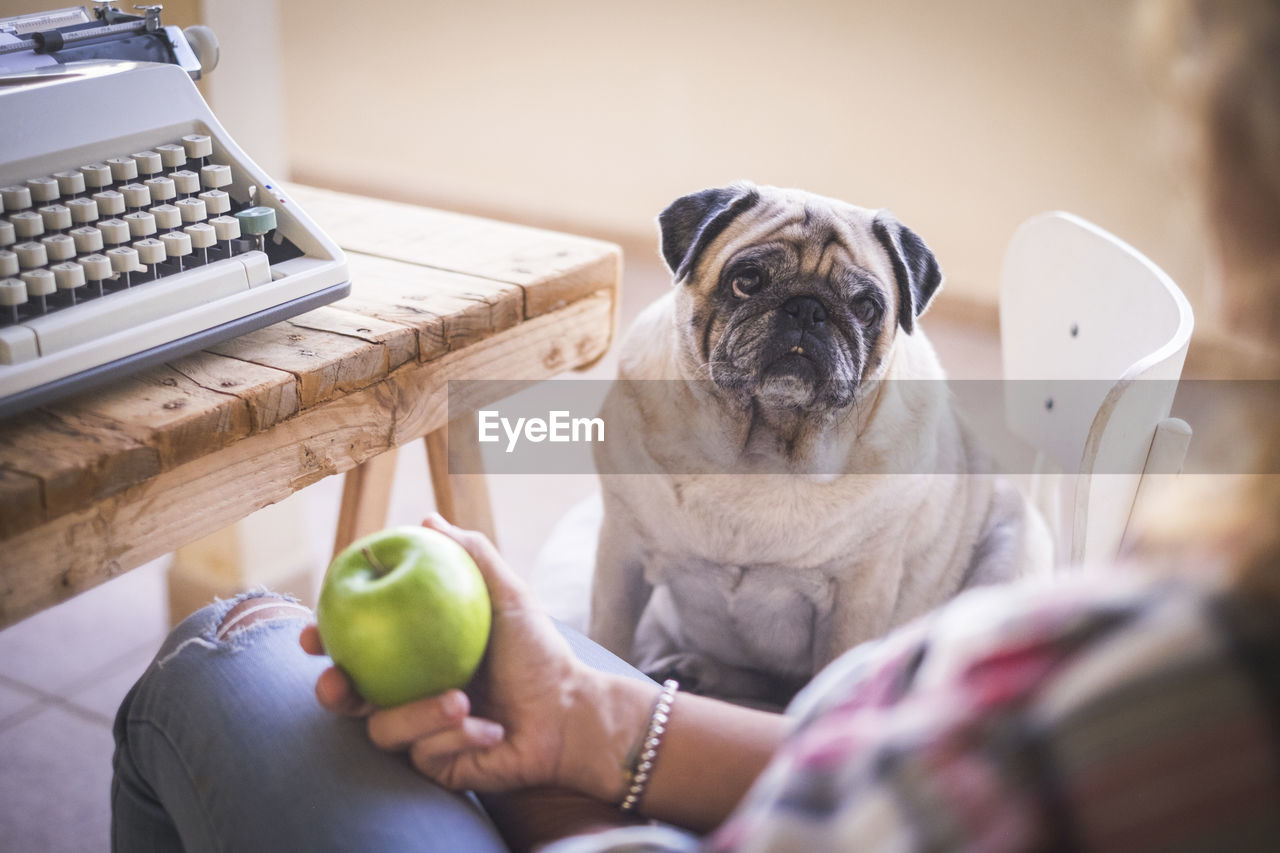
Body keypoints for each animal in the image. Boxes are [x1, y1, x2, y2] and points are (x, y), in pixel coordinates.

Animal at [586, 179, 1049, 701]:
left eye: (865, 308)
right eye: (747, 281)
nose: (807, 308)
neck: (760, 453)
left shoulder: (858, 597)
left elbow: (831, 669)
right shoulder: (622, 554)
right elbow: (609, 635)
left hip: (1009, 553)